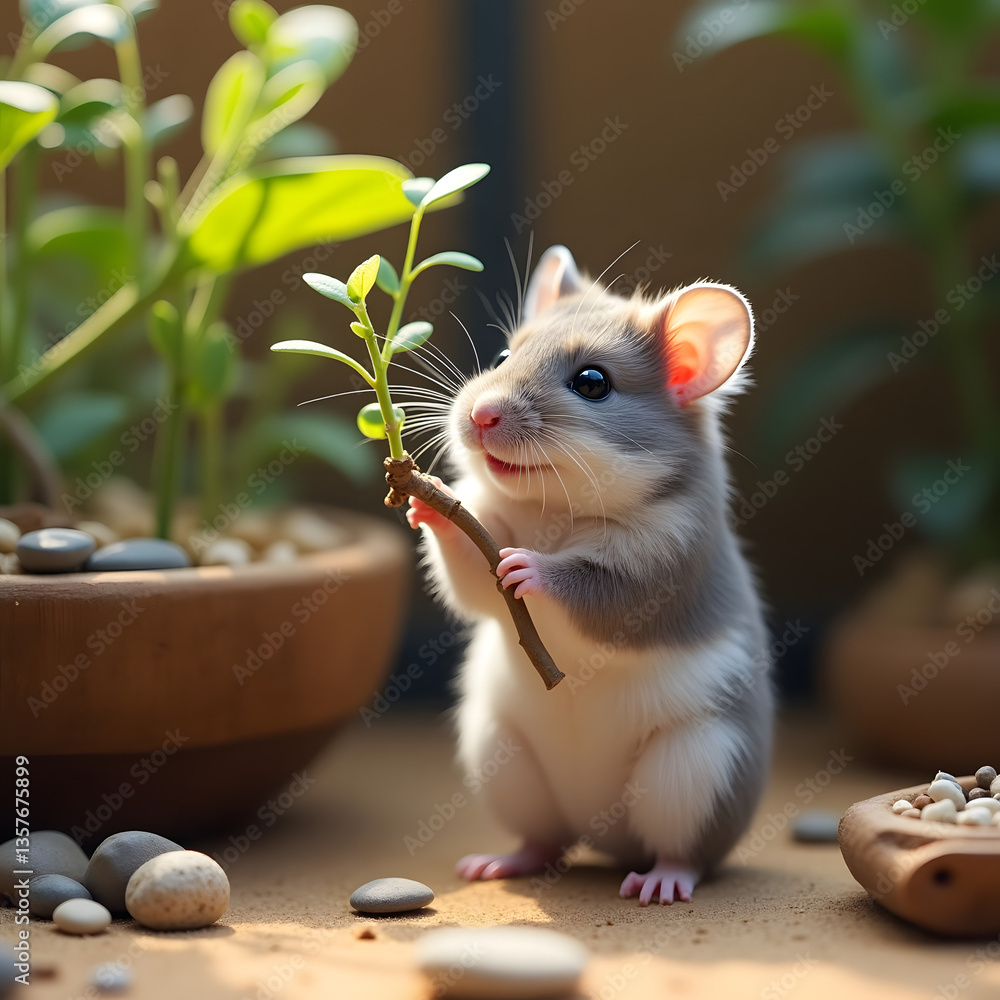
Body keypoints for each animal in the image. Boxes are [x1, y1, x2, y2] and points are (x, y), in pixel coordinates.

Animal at [405, 245, 774, 905]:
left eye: (593, 382)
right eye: (504, 356)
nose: (479, 414)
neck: (555, 511)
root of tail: (604, 834)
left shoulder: (660, 567)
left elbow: (594, 589)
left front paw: (528, 566)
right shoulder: (489, 533)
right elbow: (470, 580)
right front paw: (432, 507)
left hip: (696, 768)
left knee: (685, 853)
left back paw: (661, 883)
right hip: (504, 758)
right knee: (544, 841)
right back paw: (499, 863)